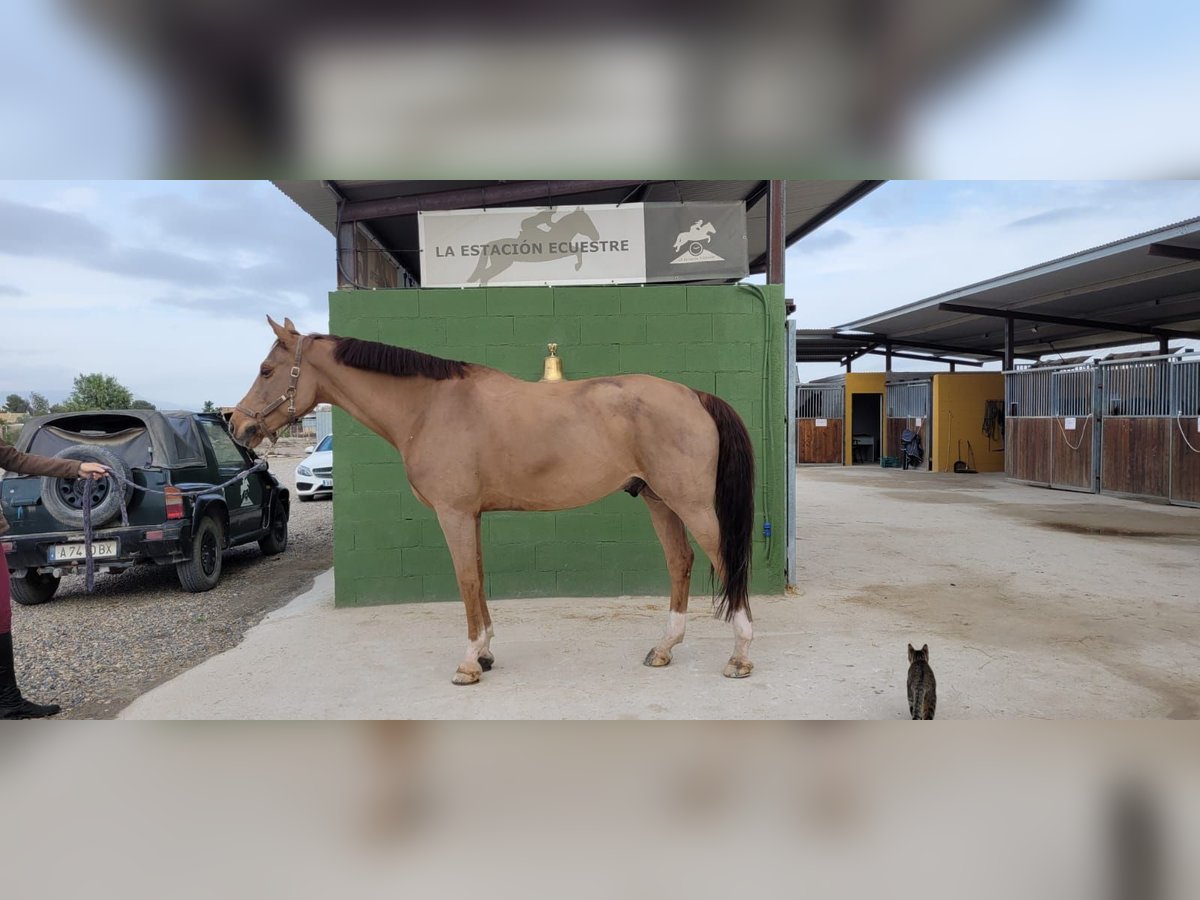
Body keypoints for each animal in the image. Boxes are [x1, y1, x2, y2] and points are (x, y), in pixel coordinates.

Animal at [226, 314, 748, 681]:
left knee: (724, 561)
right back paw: (664, 648)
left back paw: (740, 656)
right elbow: (478, 574)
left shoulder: (454, 514)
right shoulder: (471, 515)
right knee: (680, 562)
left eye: (267, 370)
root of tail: (693, 395)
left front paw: (469, 662)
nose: (238, 426)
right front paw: (487, 652)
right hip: (658, 500)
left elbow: (466, 579)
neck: (429, 409)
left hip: (691, 505)